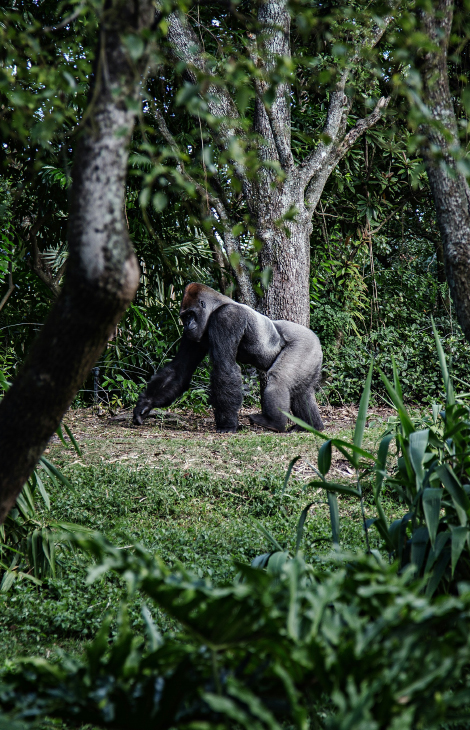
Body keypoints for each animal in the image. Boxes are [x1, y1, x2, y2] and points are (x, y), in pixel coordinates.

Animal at [132, 282, 324, 432]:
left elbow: (224, 366)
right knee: (301, 391)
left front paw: (228, 425)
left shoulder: (226, 318)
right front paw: (145, 404)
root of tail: (316, 339)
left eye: (190, 314)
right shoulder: (193, 335)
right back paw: (311, 426)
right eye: (184, 317)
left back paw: (274, 423)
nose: (187, 325)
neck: (216, 306)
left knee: (279, 379)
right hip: (312, 355)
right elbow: (179, 369)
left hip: (305, 344)